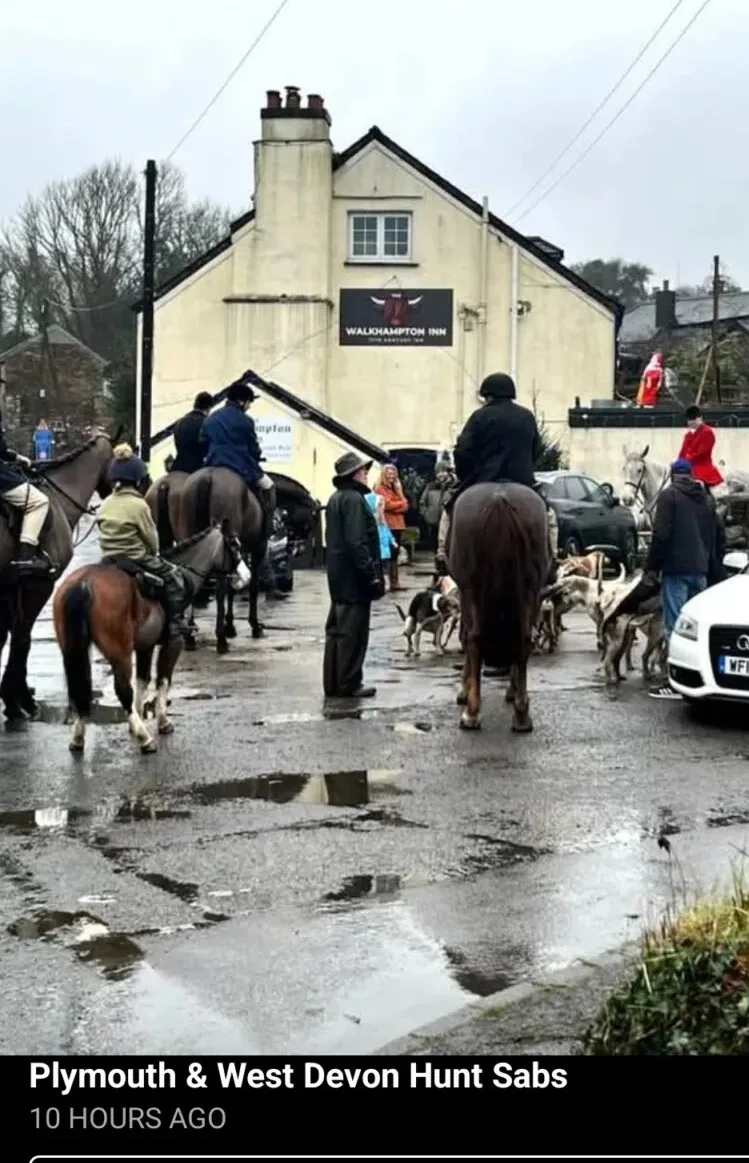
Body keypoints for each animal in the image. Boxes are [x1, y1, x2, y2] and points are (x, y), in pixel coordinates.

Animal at [0, 432, 116, 721]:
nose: (145, 485)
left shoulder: (11, 587)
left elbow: (9, 637)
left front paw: (16, 696)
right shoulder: (38, 585)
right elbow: (22, 640)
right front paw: (17, 701)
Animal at [53, 518, 245, 753]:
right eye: (235, 545)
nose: (245, 577)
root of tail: (83, 582)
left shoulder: (145, 646)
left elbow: (142, 680)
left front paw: (137, 719)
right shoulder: (174, 642)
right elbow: (163, 679)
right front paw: (161, 721)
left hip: (72, 650)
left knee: (79, 690)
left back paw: (78, 736)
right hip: (119, 651)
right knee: (122, 689)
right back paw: (145, 738)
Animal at [177, 465, 272, 651]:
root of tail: (207, 476)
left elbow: (232, 588)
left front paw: (230, 625)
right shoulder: (258, 549)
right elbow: (252, 587)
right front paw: (253, 625)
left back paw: (190, 637)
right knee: (220, 590)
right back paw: (220, 639)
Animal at [446, 486, 546, 730]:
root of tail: (499, 497)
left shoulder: (464, 593)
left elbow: (465, 638)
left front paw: (464, 691)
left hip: (471, 589)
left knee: (474, 638)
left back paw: (471, 714)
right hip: (530, 590)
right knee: (523, 639)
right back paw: (521, 714)